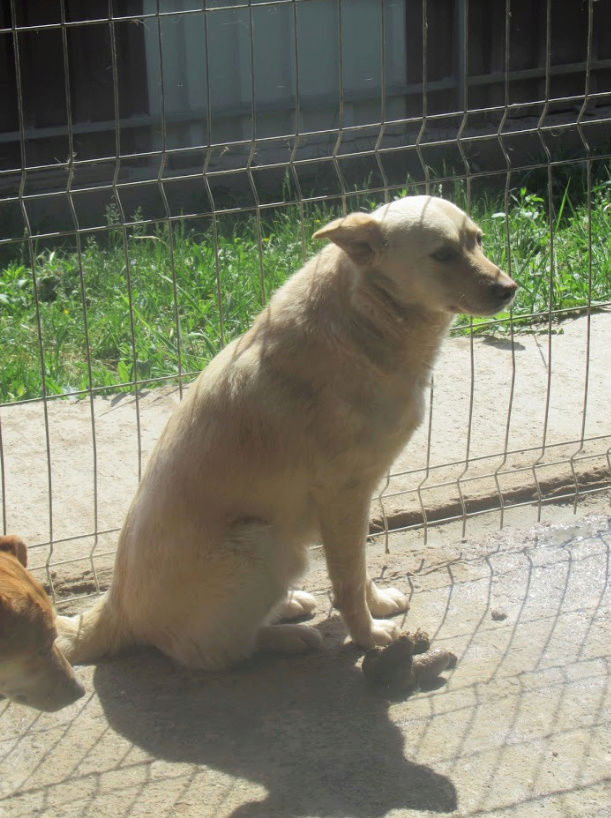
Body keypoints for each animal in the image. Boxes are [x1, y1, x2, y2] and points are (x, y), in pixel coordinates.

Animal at [56, 196, 516, 668]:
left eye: (477, 240)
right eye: (443, 254)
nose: (510, 288)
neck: (366, 317)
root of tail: (113, 610)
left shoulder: (356, 502)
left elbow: (360, 567)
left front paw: (377, 606)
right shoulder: (343, 496)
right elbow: (348, 579)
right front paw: (367, 636)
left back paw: (289, 605)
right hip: (266, 544)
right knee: (216, 651)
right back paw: (288, 638)